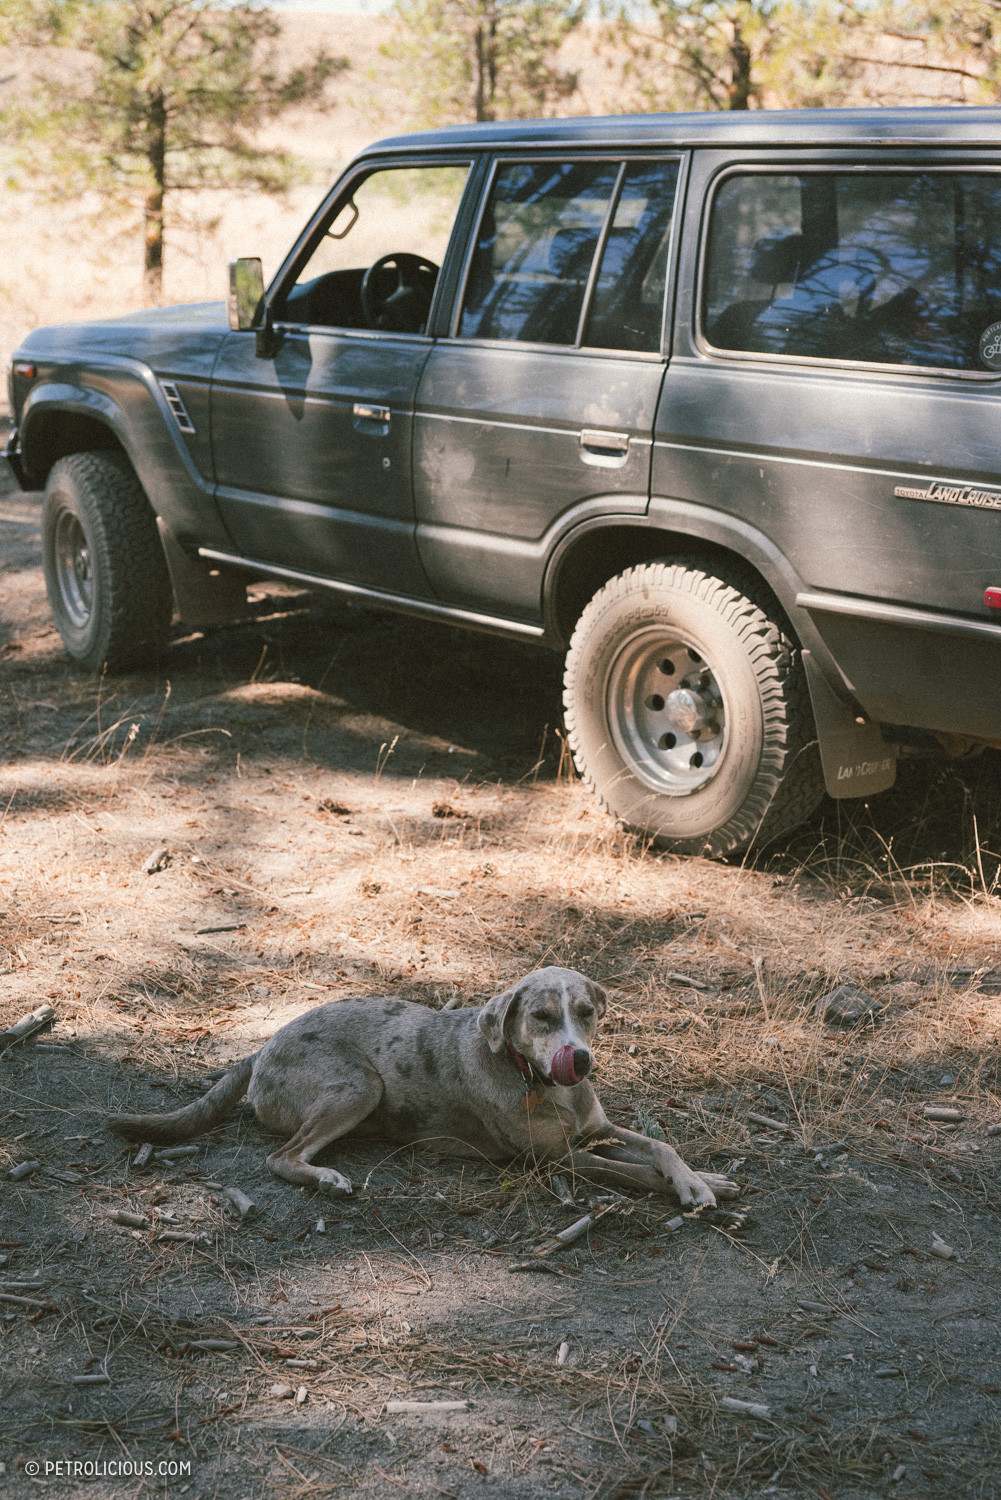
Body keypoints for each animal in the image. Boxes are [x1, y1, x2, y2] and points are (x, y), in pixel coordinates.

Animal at [108, 972, 735, 1206]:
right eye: (539, 1017)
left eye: (586, 1012)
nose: (579, 1059)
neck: (534, 1079)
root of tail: (262, 1047)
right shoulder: (556, 1161)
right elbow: (633, 1173)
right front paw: (692, 1189)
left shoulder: (597, 1129)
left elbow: (661, 1147)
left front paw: (702, 1179)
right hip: (359, 1086)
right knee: (280, 1157)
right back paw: (327, 1177)